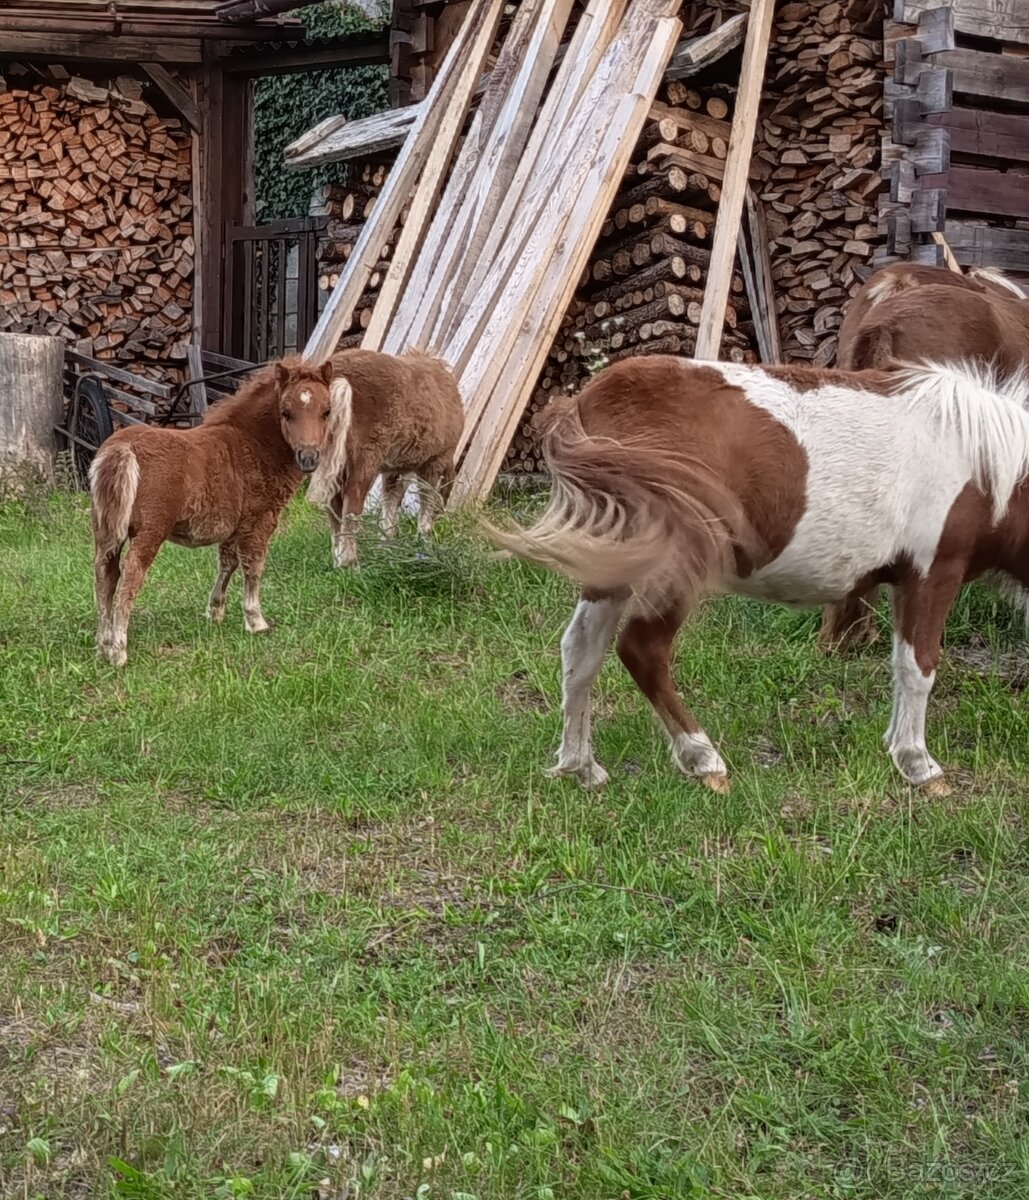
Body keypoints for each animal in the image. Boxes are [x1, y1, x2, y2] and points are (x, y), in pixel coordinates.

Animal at [89, 357, 344, 666]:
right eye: (286, 412)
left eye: (326, 411)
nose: (309, 458)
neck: (252, 444)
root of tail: (123, 448)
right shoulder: (260, 519)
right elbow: (253, 565)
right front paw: (256, 621)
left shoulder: (233, 525)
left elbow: (227, 562)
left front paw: (215, 612)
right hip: (150, 531)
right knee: (130, 575)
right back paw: (119, 650)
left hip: (105, 529)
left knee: (105, 575)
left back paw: (103, 645)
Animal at [305, 349, 463, 568]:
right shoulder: (433, 464)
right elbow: (425, 505)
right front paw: (426, 545)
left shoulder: (394, 470)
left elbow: (390, 506)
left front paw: (387, 548)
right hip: (365, 461)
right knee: (351, 506)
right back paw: (350, 563)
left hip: (334, 461)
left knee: (334, 507)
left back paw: (338, 560)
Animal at [484, 354, 1029, 794]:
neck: (986, 461)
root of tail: (586, 401)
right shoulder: (933, 574)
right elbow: (920, 667)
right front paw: (917, 764)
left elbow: (901, 665)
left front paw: (899, 748)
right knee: (642, 650)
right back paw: (702, 759)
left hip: (614, 563)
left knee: (582, 651)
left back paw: (581, 765)